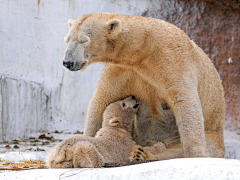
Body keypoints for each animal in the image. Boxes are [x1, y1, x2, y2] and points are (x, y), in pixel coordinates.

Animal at [62, 13, 225, 159]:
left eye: (84, 40)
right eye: (67, 39)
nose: (68, 62)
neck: (143, 49)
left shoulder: (172, 59)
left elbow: (184, 101)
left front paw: (196, 155)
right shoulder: (122, 70)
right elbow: (103, 99)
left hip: (211, 137)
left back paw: (144, 154)